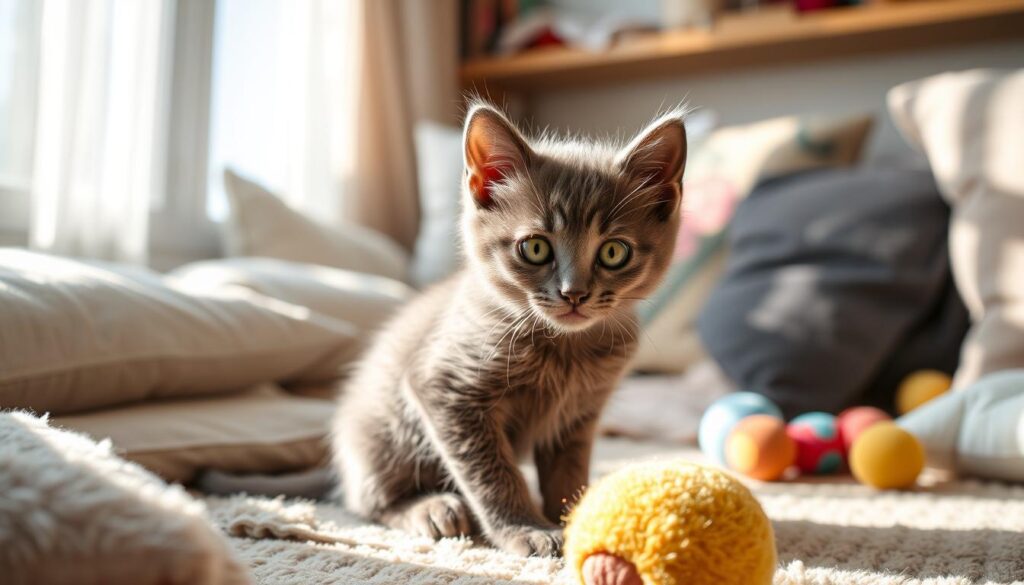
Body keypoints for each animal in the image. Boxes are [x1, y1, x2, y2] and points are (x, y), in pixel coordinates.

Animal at [335, 101, 684, 557]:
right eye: (534, 247)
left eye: (613, 252)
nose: (574, 293)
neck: (563, 348)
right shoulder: (445, 389)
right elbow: (492, 472)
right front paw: (526, 528)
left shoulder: (579, 414)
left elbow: (568, 472)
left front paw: (573, 516)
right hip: (384, 437)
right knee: (371, 501)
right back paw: (432, 509)